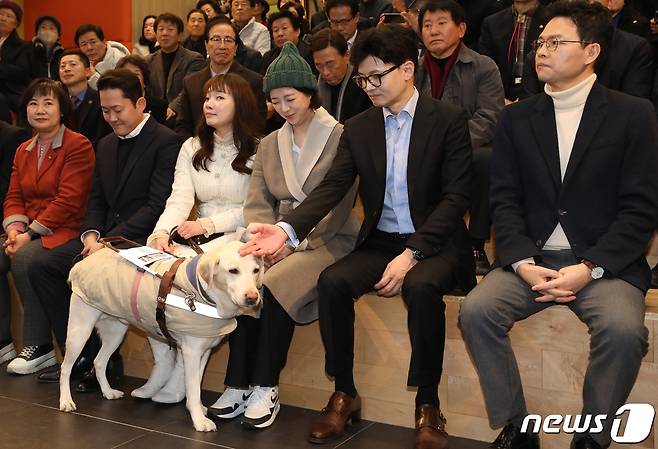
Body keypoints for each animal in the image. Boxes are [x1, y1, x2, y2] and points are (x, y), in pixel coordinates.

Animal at [57, 238, 260, 430]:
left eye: (256, 270)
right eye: (233, 271)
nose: (253, 297)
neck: (199, 291)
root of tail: (87, 259)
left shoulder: (205, 352)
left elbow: (196, 385)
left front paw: (199, 410)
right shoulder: (192, 353)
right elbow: (193, 389)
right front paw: (199, 421)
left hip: (116, 332)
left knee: (99, 362)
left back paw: (108, 392)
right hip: (80, 330)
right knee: (66, 367)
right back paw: (66, 401)